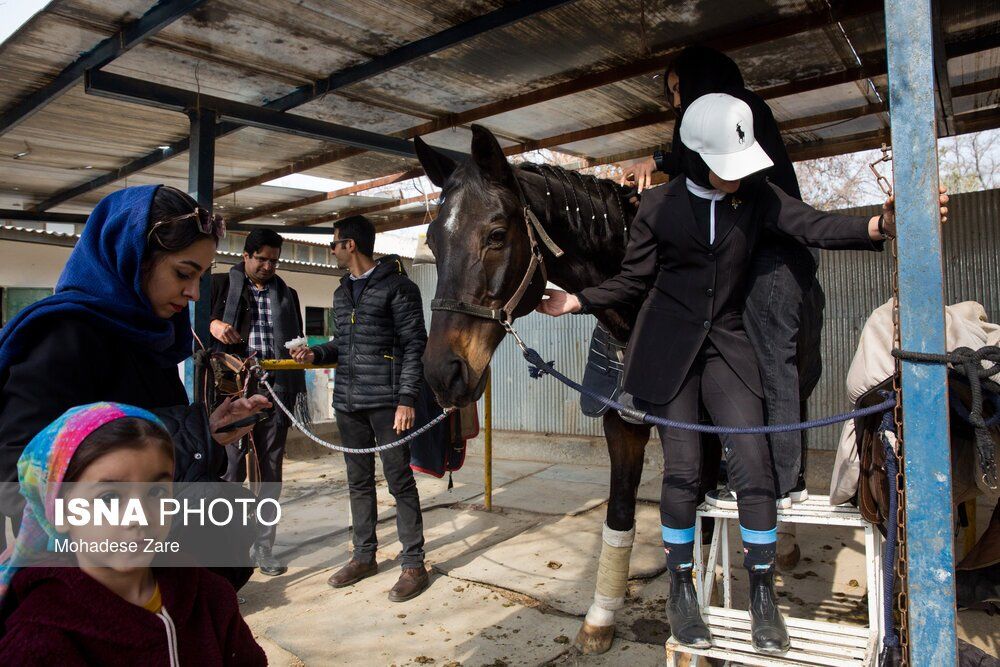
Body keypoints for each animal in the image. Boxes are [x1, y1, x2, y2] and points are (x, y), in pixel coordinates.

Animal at [412, 125, 648, 652]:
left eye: (498, 235)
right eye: (433, 242)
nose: (441, 374)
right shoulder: (623, 422)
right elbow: (621, 513)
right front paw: (600, 620)